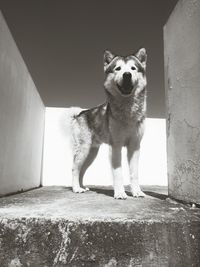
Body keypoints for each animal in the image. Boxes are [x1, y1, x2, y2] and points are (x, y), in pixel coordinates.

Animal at [69, 47, 147, 199]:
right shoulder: (115, 146)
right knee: (75, 168)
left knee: (82, 170)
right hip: (84, 149)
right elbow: (118, 173)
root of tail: (80, 114)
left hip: (92, 153)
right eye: (118, 68)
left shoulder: (135, 146)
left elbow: (134, 173)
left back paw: (82, 187)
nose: (127, 75)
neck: (128, 112)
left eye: (133, 68)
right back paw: (76, 188)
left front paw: (137, 192)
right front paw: (120, 193)